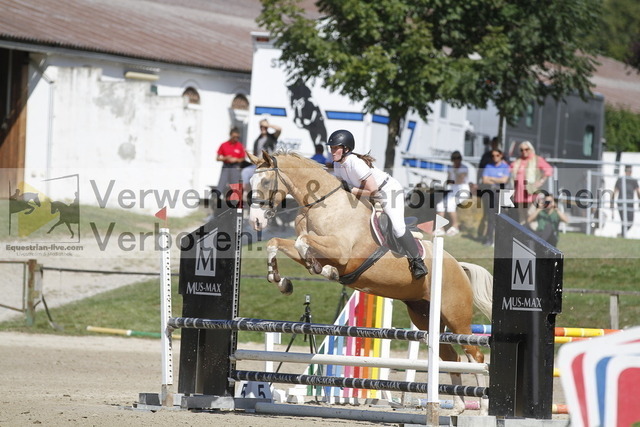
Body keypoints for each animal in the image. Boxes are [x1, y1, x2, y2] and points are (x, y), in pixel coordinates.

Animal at [247, 151, 493, 414]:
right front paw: (281, 281)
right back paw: (457, 407)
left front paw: (327, 271)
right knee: (451, 357)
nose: (256, 221)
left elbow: (304, 242)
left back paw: (482, 408)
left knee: (475, 356)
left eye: (265, 182)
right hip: (425, 315)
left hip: (457, 317)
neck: (321, 205)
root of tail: (459, 266)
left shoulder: (341, 252)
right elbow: (278, 243)